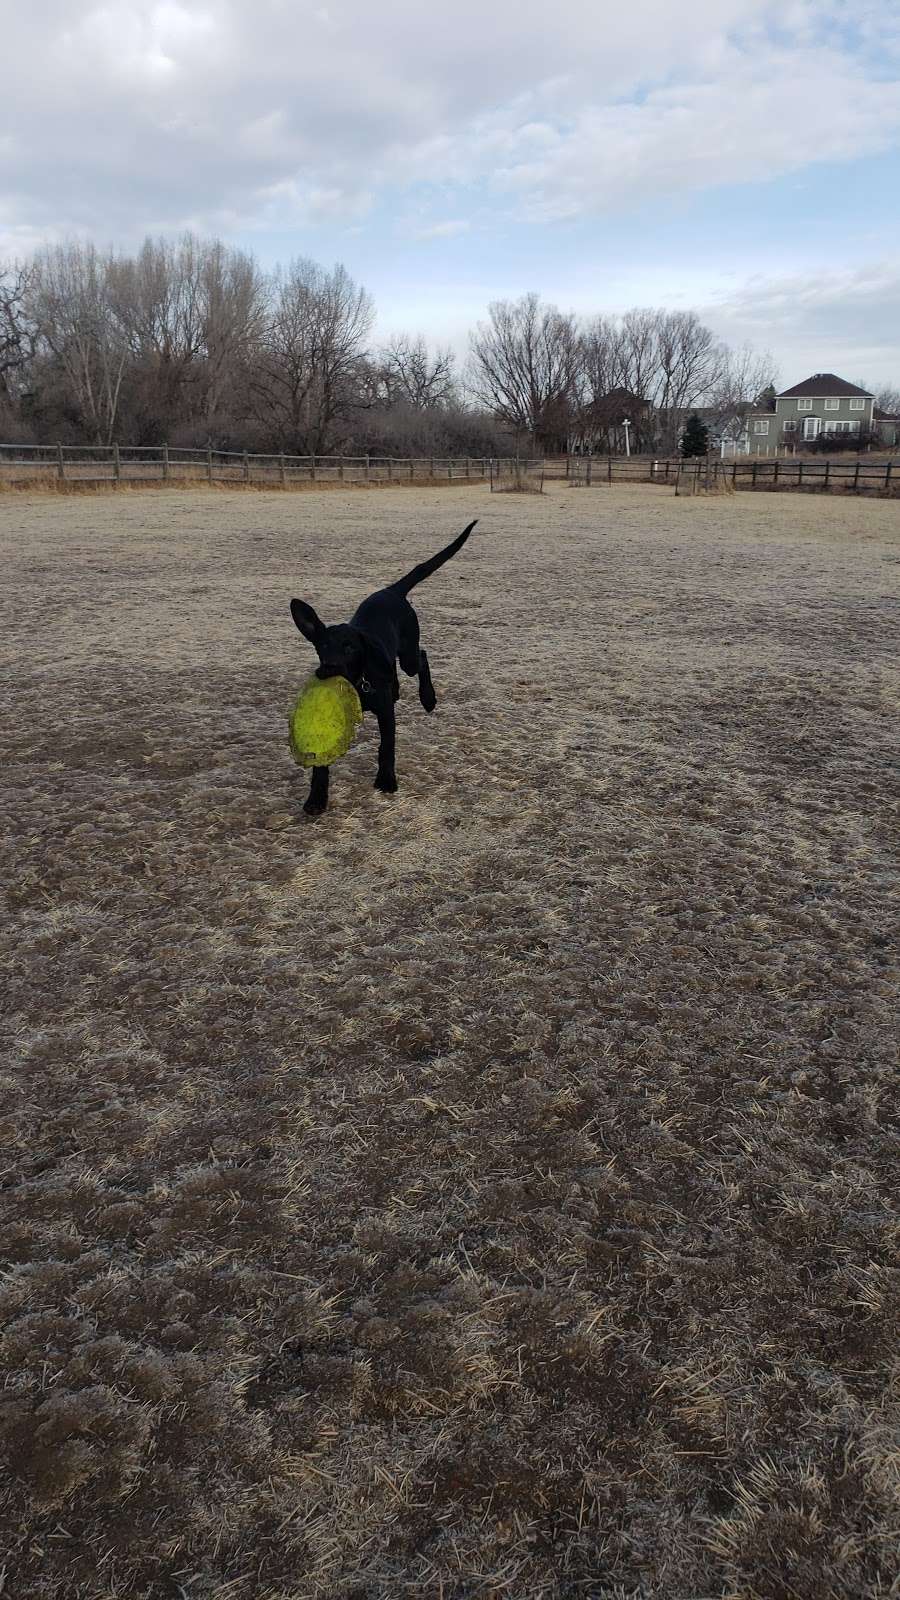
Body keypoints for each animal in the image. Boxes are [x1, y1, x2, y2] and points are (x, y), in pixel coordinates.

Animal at [288, 521, 474, 812]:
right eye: (322, 646)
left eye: (350, 647)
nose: (327, 669)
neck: (358, 682)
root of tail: (392, 590)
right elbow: (321, 763)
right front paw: (316, 798)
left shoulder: (386, 713)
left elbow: (386, 747)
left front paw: (386, 780)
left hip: (408, 655)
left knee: (421, 657)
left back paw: (428, 698)